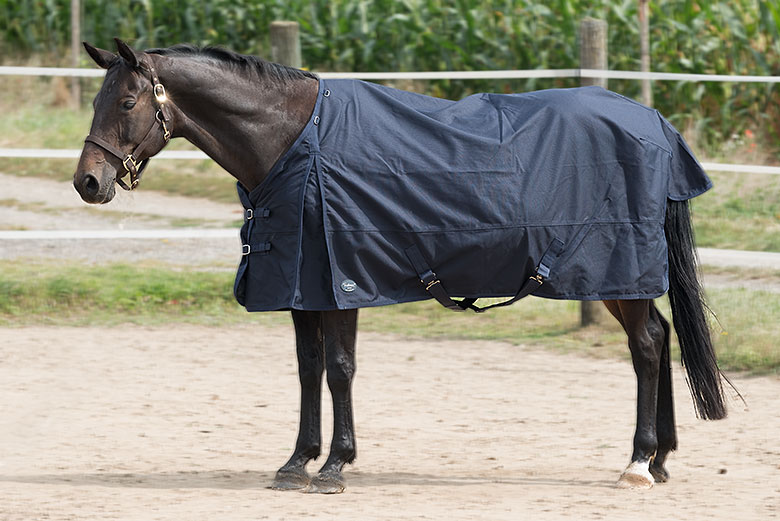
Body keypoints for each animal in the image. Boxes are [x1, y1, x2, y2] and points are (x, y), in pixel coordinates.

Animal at [73, 38, 724, 494]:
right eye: (98, 100)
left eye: (127, 102)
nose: (88, 182)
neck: (294, 142)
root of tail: (653, 123)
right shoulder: (301, 287)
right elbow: (308, 370)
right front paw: (296, 462)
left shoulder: (341, 282)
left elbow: (339, 370)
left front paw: (335, 466)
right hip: (623, 278)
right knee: (660, 335)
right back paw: (661, 459)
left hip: (618, 272)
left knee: (646, 345)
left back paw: (637, 463)